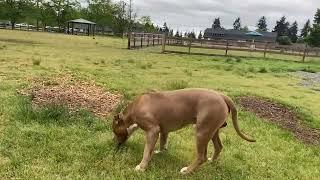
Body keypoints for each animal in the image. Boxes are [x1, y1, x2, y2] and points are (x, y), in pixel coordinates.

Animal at [112, 88, 255, 174]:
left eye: (115, 132)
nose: (114, 144)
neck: (133, 110)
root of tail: (221, 96)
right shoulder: (163, 130)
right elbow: (162, 142)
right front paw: (160, 151)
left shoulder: (153, 130)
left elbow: (146, 151)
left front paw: (141, 167)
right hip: (213, 130)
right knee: (218, 146)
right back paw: (212, 161)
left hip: (201, 132)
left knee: (201, 157)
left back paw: (188, 171)